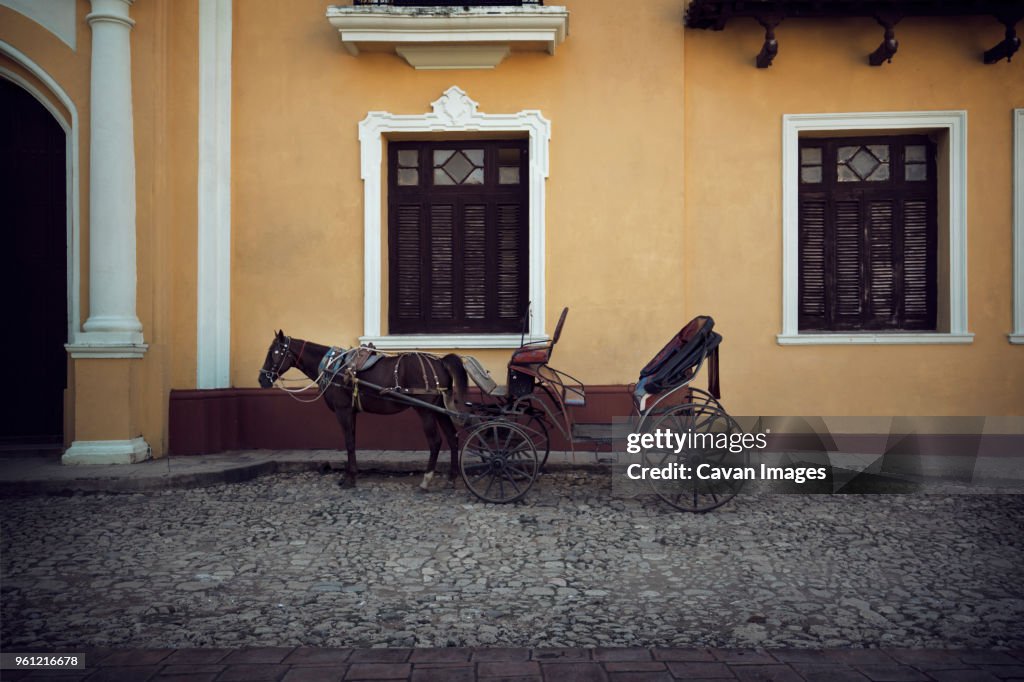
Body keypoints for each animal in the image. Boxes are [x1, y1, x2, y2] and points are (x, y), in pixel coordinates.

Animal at [256, 329, 468, 489]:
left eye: (274, 353)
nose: (262, 379)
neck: (333, 367)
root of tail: (440, 362)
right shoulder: (351, 411)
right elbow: (353, 440)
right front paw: (351, 475)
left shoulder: (342, 410)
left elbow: (349, 442)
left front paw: (350, 479)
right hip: (439, 408)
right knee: (452, 438)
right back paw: (451, 478)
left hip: (425, 410)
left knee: (435, 441)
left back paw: (426, 480)